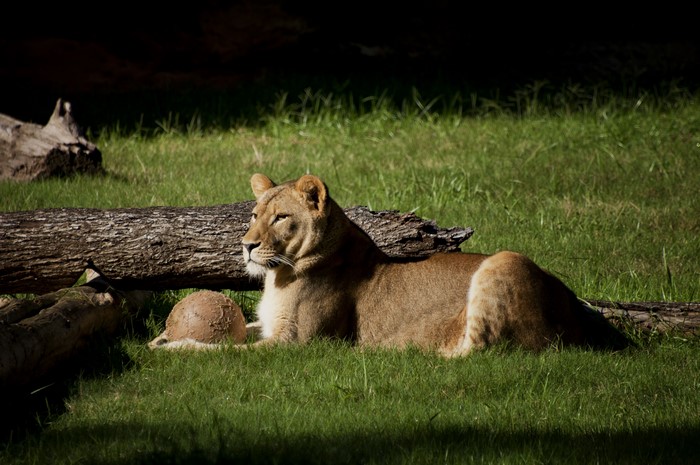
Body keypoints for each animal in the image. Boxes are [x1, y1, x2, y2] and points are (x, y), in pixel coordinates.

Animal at [239, 173, 630, 356]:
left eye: (281, 218)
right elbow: (240, 332)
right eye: (255, 215)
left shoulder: (301, 342)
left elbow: (234, 353)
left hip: (506, 260)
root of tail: (571, 306)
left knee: (478, 351)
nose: (246, 246)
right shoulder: (271, 329)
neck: (280, 274)